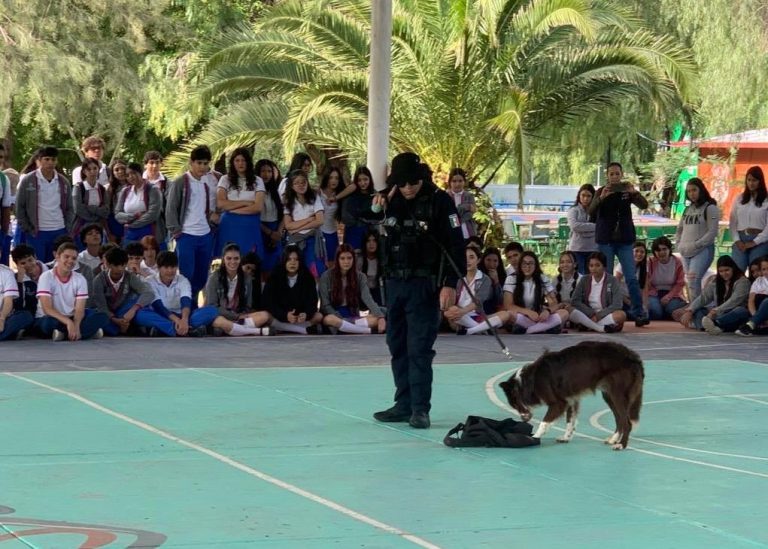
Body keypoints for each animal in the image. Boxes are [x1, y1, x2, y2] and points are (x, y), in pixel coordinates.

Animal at [498, 338, 640, 450]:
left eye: (515, 404)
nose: (523, 420)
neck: (530, 381)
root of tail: (632, 355)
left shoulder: (559, 403)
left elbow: (544, 422)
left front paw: (534, 437)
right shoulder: (571, 399)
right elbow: (570, 420)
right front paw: (566, 437)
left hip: (617, 395)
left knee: (626, 422)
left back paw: (621, 445)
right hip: (608, 395)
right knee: (619, 419)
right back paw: (613, 439)